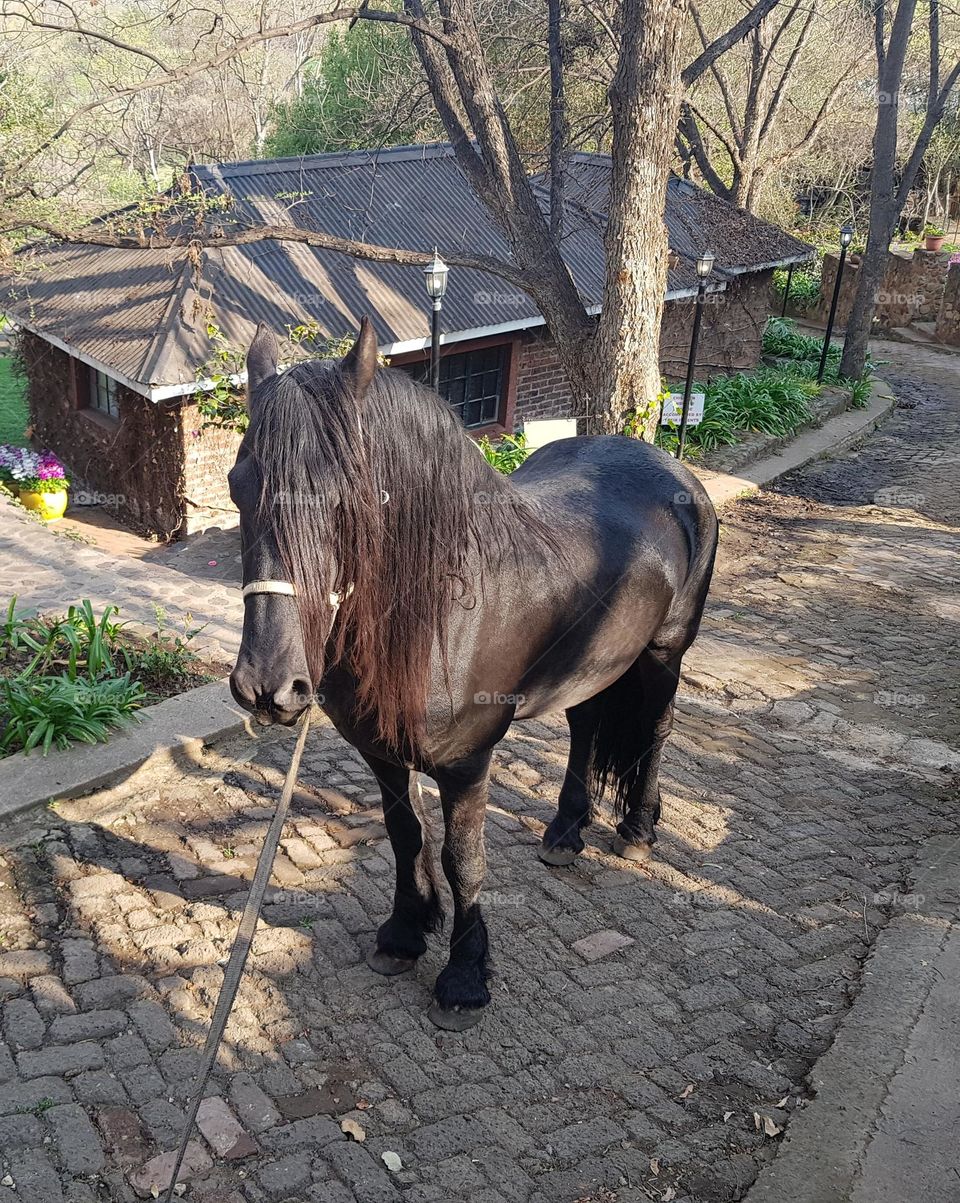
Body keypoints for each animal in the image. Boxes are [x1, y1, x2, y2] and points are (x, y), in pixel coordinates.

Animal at [229, 322, 716, 1034]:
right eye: (238, 486)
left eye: (346, 494)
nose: (267, 686)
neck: (440, 614)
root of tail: (670, 467)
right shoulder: (380, 753)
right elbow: (406, 837)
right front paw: (405, 934)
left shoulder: (467, 763)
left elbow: (464, 861)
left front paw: (464, 975)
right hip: (592, 663)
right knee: (586, 723)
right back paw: (566, 830)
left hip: (663, 653)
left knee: (655, 728)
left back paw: (637, 831)